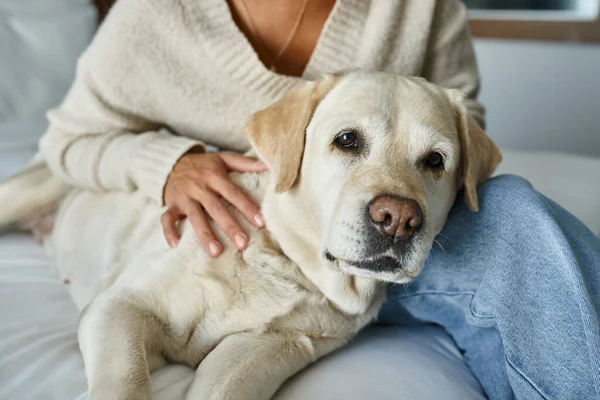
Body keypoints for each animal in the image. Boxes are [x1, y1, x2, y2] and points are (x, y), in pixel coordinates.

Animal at [0, 72, 500, 400]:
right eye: (347, 140)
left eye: (436, 161)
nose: (398, 218)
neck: (283, 258)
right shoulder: (120, 306)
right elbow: (126, 378)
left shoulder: (267, 347)